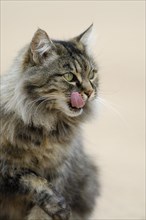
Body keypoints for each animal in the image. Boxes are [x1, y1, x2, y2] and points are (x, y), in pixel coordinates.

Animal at [0, 24, 100, 219]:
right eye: (69, 77)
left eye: (92, 74)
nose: (90, 92)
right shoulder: (6, 167)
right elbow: (30, 177)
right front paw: (57, 204)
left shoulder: (60, 172)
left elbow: (40, 212)